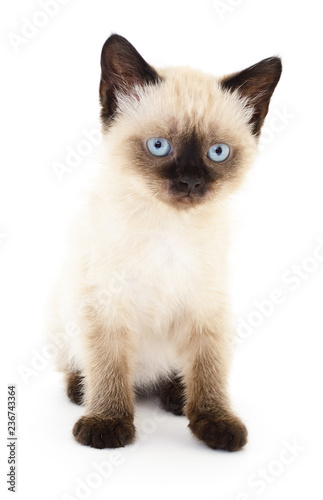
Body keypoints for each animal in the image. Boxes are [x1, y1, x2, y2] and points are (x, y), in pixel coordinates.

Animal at [49, 33, 282, 452]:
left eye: (217, 152)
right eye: (159, 146)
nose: (190, 182)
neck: (169, 228)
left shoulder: (207, 308)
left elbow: (208, 372)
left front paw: (215, 423)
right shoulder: (106, 308)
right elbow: (108, 369)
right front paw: (107, 424)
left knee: (175, 372)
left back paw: (175, 395)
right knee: (82, 366)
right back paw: (80, 391)